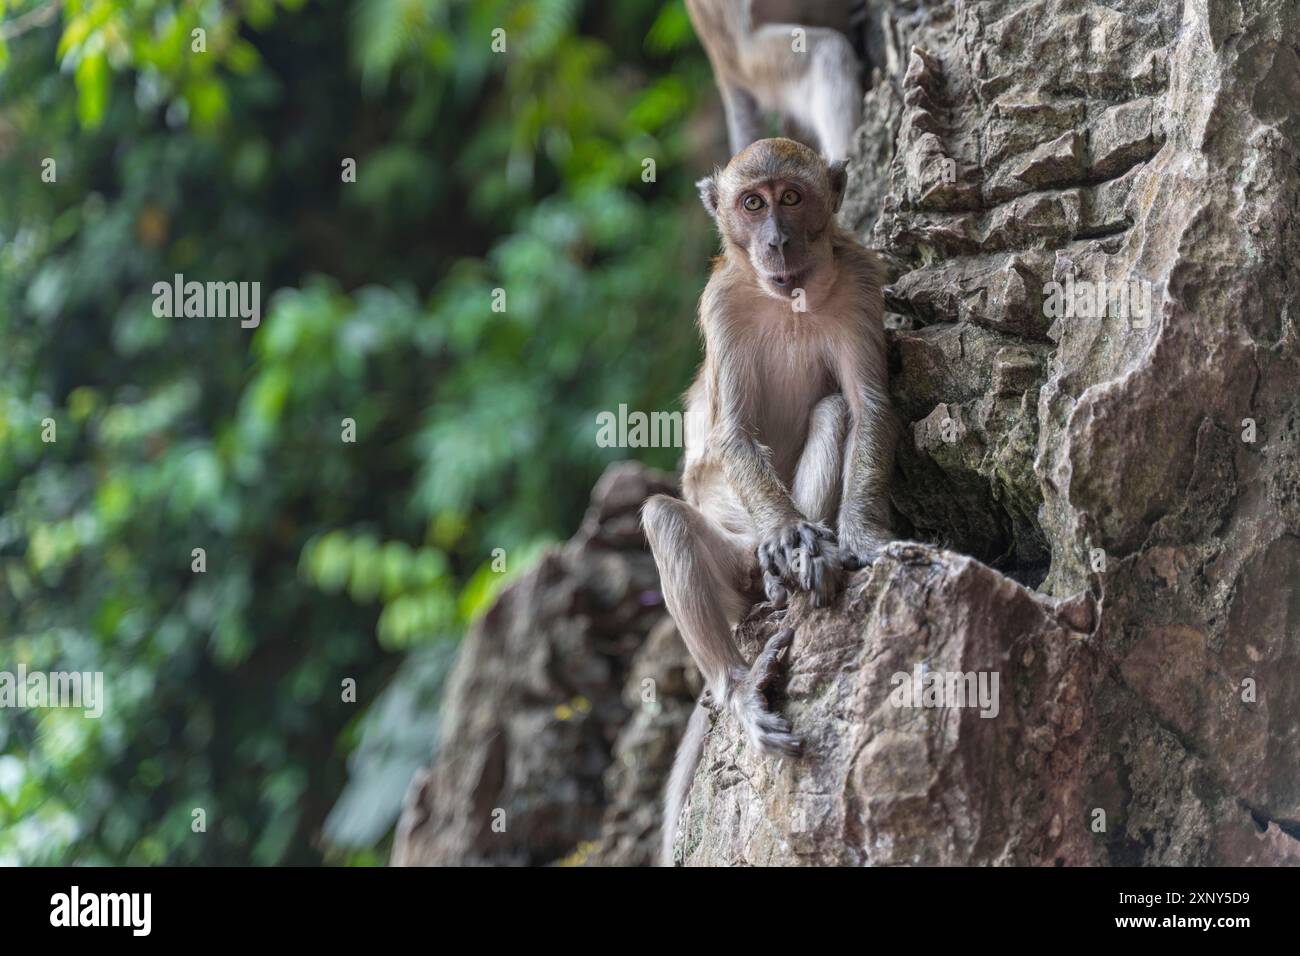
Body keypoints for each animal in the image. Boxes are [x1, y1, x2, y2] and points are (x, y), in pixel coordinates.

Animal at [643, 138, 894, 864]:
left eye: (792, 198)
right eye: (752, 203)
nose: (776, 240)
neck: (793, 298)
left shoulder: (861, 281)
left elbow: (868, 408)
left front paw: (858, 536)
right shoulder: (722, 302)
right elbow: (729, 434)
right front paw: (785, 532)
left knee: (835, 408)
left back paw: (812, 557)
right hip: (734, 570)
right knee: (666, 518)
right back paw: (741, 682)